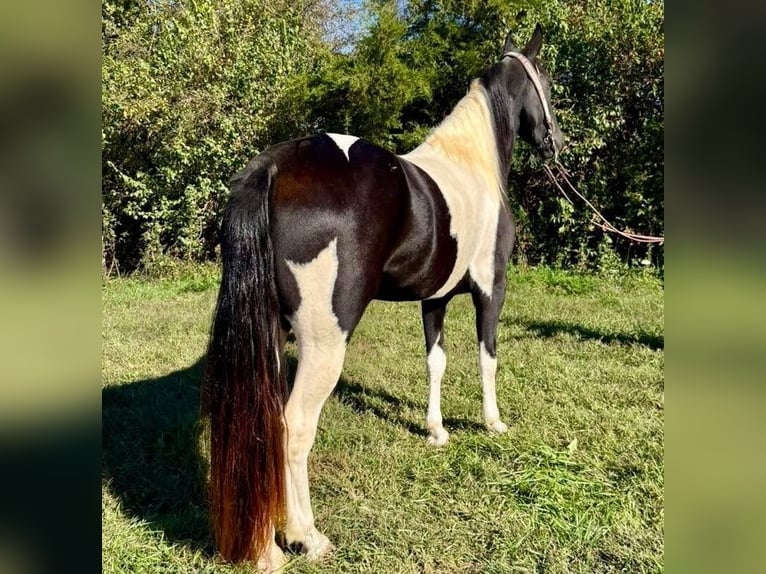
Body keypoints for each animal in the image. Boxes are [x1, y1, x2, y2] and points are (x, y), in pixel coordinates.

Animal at [202, 24, 564, 570]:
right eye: (546, 80)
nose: (558, 143)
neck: (470, 164)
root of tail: (272, 167)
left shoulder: (435, 298)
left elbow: (436, 361)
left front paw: (436, 431)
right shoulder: (489, 288)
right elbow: (487, 357)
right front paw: (493, 423)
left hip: (271, 334)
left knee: (264, 422)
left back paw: (267, 547)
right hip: (325, 342)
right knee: (294, 424)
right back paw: (306, 538)